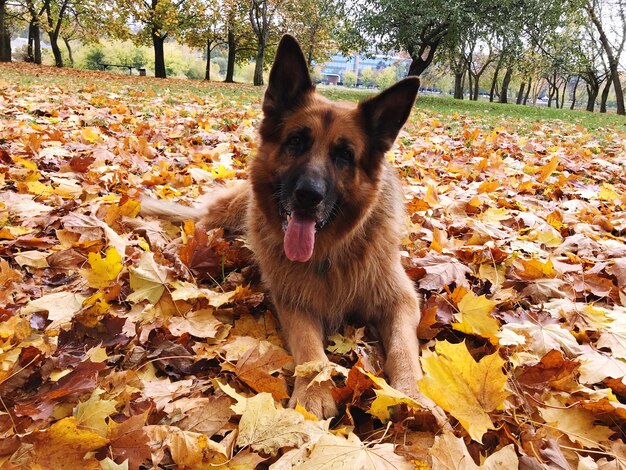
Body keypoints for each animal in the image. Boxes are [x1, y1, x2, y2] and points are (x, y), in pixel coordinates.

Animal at [142, 34, 432, 418]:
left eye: (344, 155)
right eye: (296, 141)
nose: (308, 196)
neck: (330, 253)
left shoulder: (401, 301)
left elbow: (403, 347)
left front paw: (412, 393)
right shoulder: (294, 303)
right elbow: (310, 349)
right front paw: (313, 392)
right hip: (230, 214)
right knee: (200, 224)